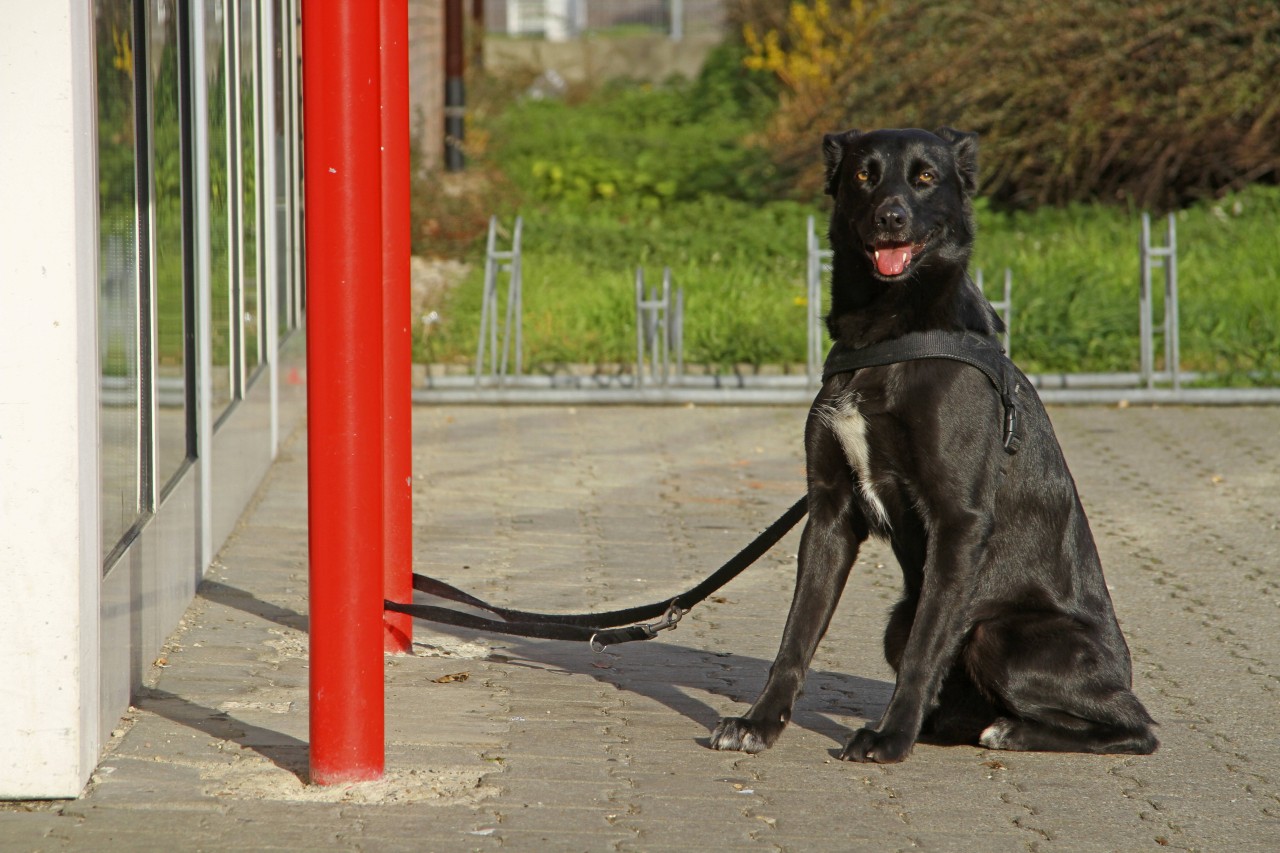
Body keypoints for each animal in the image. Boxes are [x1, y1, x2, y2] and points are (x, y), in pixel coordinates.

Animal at [711, 126, 1162, 758]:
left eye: (925, 177)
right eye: (864, 175)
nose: (890, 218)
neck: (889, 338)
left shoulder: (957, 520)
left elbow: (926, 650)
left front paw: (889, 738)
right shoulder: (829, 512)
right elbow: (796, 635)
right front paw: (760, 721)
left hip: (1000, 635)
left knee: (1135, 726)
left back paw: (1010, 730)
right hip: (897, 620)